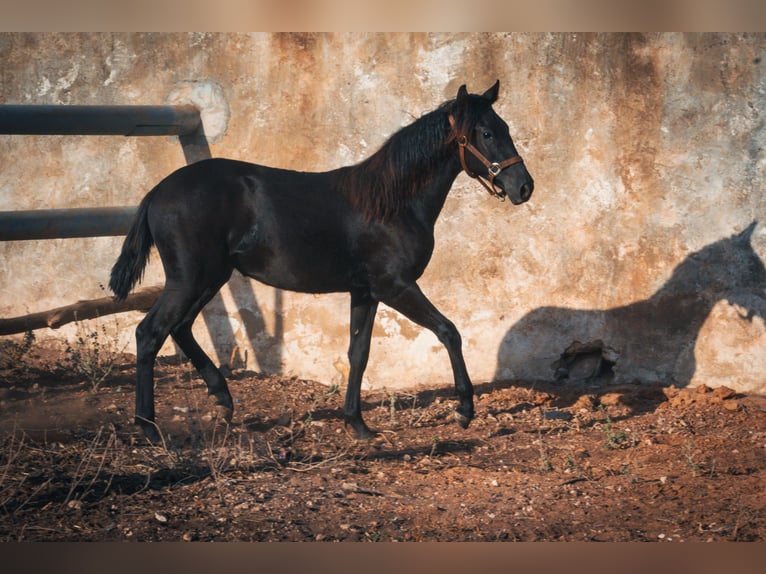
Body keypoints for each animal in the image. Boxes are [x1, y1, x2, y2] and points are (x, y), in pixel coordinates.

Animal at [111, 81, 536, 444]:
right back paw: (148, 427)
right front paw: (464, 410)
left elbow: (358, 353)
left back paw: (223, 400)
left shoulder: (365, 292)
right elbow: (449, 331)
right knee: (150, 333)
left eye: (505, 127)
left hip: (209, 277)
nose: (524, 187)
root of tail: (157, 192)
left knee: (179, 328)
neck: (392, 201)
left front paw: (357, 423)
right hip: (189, 279)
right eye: (486, 133)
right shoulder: (395, 286)